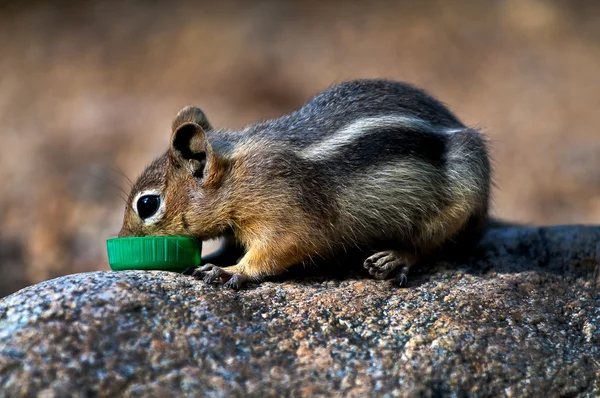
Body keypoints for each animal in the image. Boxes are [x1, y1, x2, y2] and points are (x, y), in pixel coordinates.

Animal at [118, 78, 492, 290]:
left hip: (461, 199)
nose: (121, 239)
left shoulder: (285, 214)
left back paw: (395, 258)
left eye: (147, 204)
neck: (236, 177)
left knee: (430, 246)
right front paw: (219, 256)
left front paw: (230, 271)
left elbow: (279, 248)